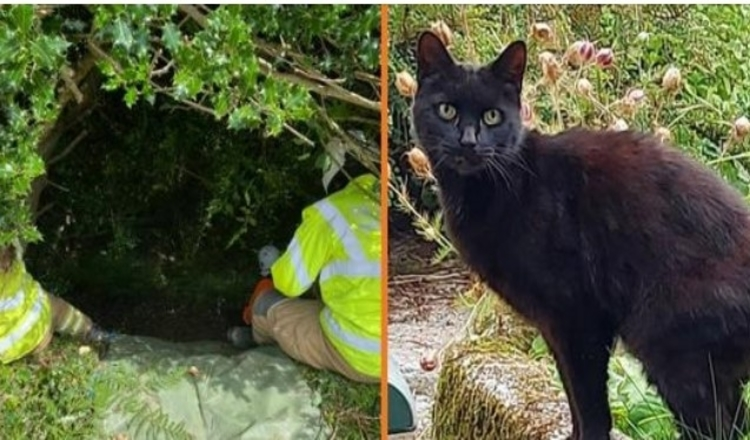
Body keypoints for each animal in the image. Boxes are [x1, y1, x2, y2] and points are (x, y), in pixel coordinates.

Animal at [414, 31, 750, 440]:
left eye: (492, 116)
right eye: (446, 110)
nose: (468, 141)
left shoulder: (578, 317)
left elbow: (587, 399)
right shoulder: (553, 326)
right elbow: (572, 394)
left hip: (672, 349)